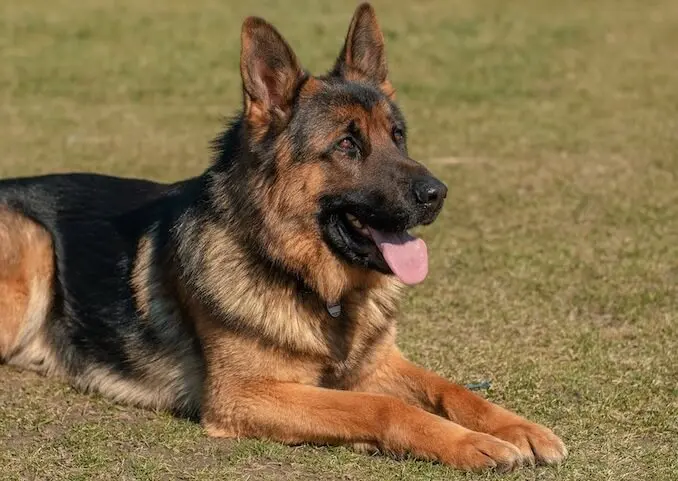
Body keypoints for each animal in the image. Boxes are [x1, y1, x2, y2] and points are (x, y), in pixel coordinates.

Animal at [1, 2, 568, 468]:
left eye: (398, 136)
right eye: (347, 145)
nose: (438, 193)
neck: (313, 286)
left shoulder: (378, 362)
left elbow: (453, 390)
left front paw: (517, 427)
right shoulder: (245, 395)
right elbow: (380, 407)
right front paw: (469, 443)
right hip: (33, 251)